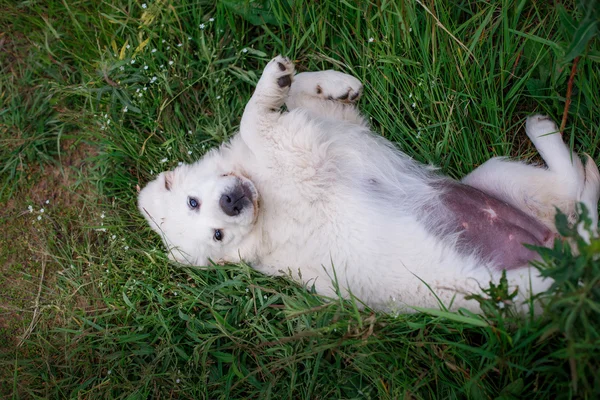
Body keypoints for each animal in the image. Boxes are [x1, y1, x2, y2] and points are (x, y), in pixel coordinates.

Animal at [137, 56, 600, 312]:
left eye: (193, 202)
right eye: (218, 235)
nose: (232, 202)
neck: (262, 193)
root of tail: (568, 261)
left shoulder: (333, 128)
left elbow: (297, 96)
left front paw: (332, 83)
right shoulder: (298, 149)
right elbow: (252, 117)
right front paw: (273, 85)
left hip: (490, 176)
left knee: (574, 194)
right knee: (578, 196)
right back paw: (550, 135)